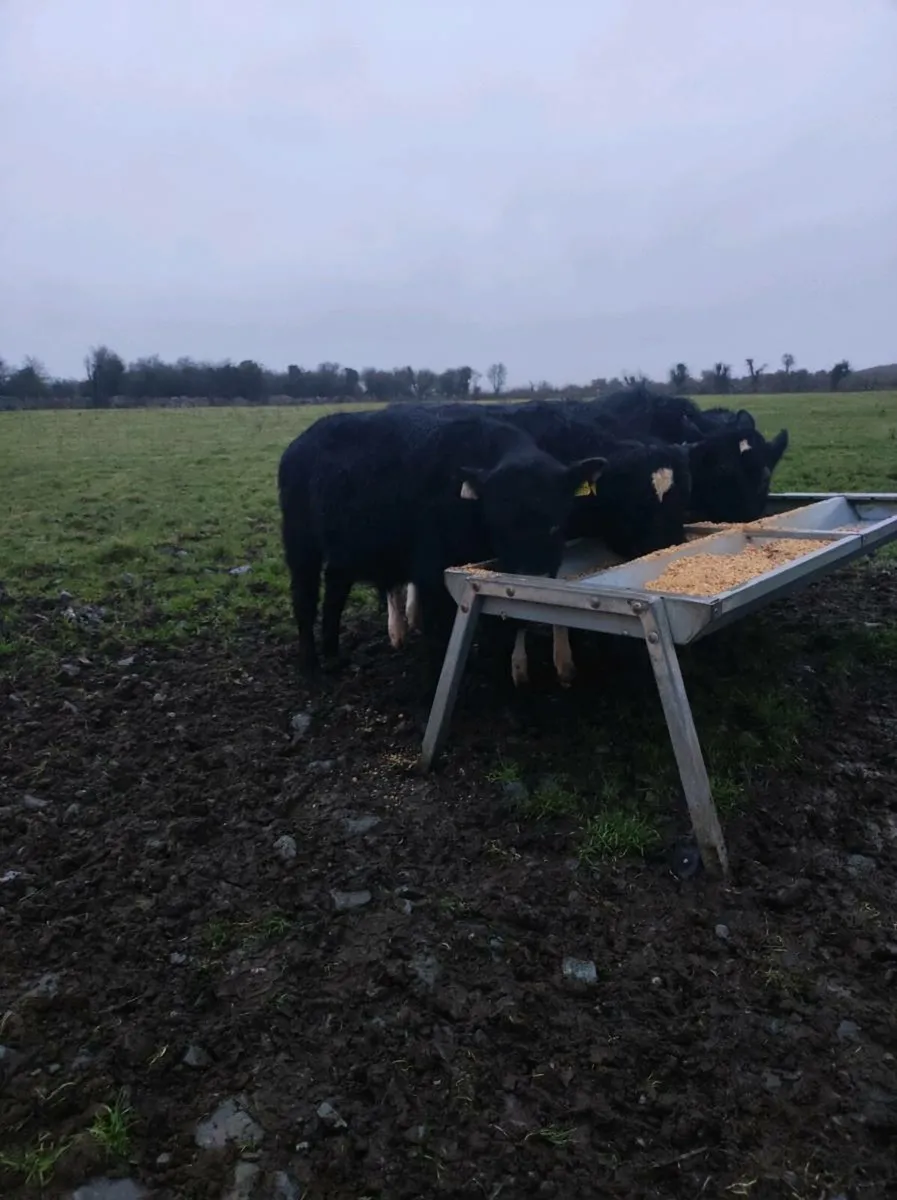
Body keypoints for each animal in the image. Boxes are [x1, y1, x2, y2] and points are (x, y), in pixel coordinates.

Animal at [277, 403, 605, 683]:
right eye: (499, 526)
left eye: (556, 524)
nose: (532, 574)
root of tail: (302, 441)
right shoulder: (431, 574)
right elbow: (440, 637)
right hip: (300, 542)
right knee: (304, 598)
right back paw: (311, 666)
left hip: (344, 550)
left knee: (334, 591)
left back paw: (333, 657)